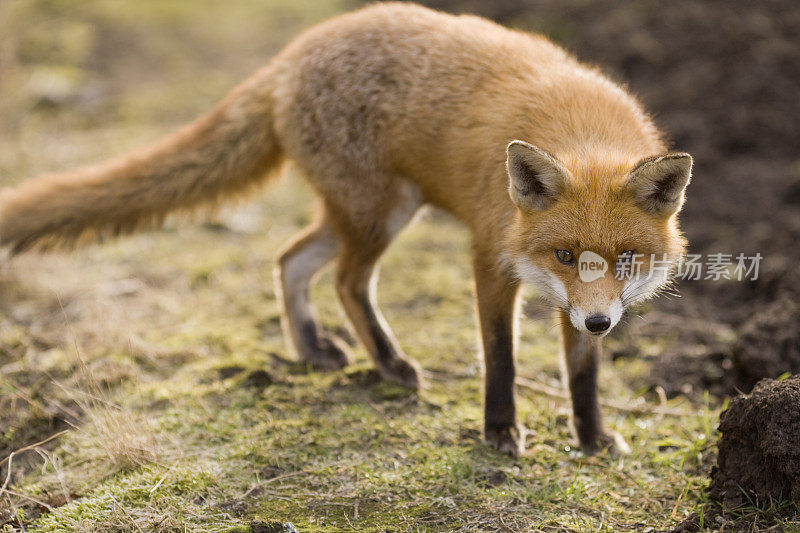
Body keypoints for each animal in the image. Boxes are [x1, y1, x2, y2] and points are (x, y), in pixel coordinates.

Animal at [0, 2, 692, 456]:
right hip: (380, 213)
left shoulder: (573, 303)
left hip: (361, 212)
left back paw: (311, 347)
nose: (599, 322)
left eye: (627, 258)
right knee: (344, 280)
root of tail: (294, 53)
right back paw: (388, 362)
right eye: (566, 253)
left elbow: (583, 372)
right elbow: (500, 353)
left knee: (290, 259)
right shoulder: (492, 256)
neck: (582, 133)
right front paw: (499, 429)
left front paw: (592, 436)